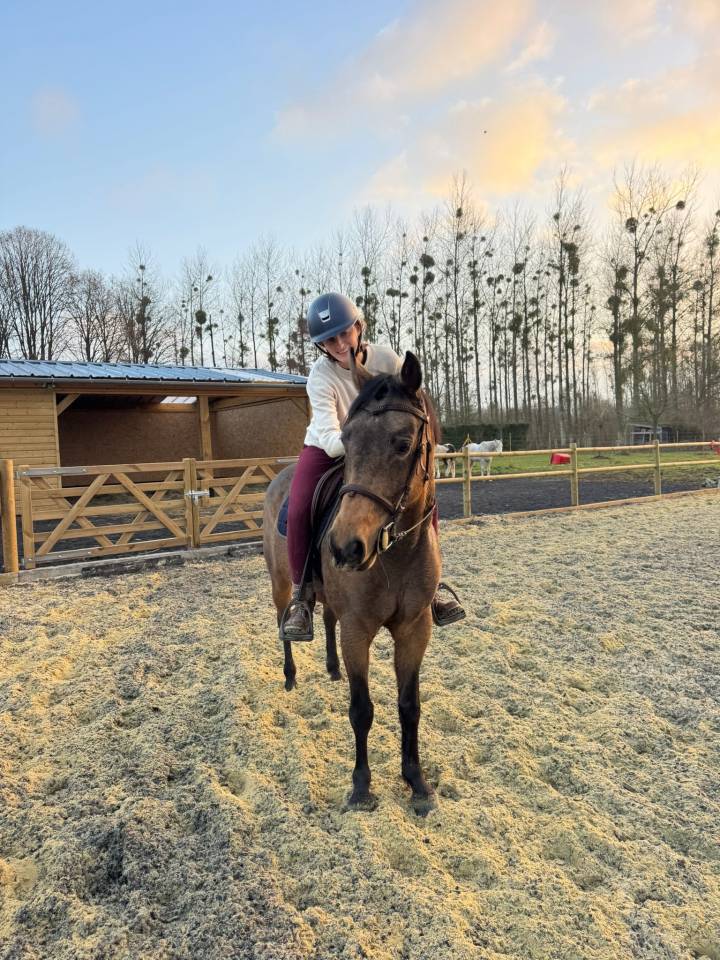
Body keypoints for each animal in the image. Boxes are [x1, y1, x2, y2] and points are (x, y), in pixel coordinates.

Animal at [263, 351, 440, 813]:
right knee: (284, 621)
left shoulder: (415, 629)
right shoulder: (358, 630)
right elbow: (362, 710)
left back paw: (331, 668)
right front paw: (362, 787)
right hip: (280, 583)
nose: (344, 547)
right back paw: (290, 675)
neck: (396, 552)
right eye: (347, 438)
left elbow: (409, 705)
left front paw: (417, 782)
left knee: (326, 617)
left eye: (402, 444)